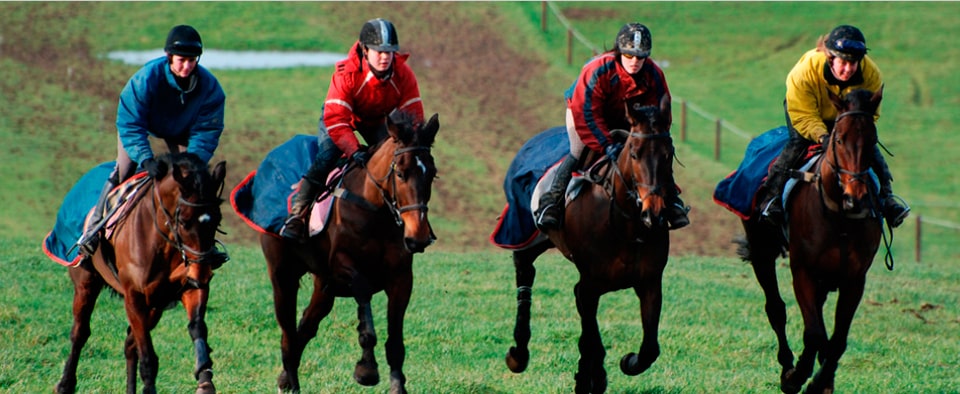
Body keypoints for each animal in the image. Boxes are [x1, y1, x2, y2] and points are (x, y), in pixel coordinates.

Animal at [56, 153, 229, 394]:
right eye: (184, 221)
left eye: (217, 220)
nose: (202, 273)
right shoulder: (134, 298)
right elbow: (148, 357)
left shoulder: (188, 288)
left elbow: (197, 327)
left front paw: (205, 380)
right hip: (86, 283)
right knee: (80, 333)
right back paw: (65, 384)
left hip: (156, 305)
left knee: (130, 345)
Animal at [262, 111, 442, 394]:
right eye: (400, 173)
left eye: (432, 174)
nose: (418, 237)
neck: (376, 210)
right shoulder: (344, 269)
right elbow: (366, 316)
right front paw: (366, 369)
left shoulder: (401, 278)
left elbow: (396, 342)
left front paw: (397, 386)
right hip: (283, 276)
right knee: (288, 334)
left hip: (322, 287)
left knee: (306, 326)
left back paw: (285, 379)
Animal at [502, 96, 676, 394]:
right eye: (634, 154)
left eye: (669, 153)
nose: (654, 213)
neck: (626, 225)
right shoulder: (591, 284)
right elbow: (593, 335)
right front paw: (595, 376)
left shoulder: (650, 282)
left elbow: (649, 349)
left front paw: (625, 362)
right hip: (526, 232)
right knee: (524, 272)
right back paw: (518, 354)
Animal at [740, 87, 888, 394]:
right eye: (839, 139)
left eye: (873, 141)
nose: (855, 198)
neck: (839, 217)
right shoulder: (804, 271)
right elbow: (815, 333)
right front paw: (797, 377)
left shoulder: (854, 278)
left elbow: (836, 341)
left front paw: (820, 381)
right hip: (762, 251)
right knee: (776, 309)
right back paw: (787, 365)